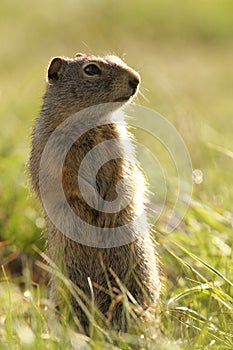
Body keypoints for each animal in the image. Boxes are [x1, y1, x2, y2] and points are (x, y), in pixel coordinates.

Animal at [29, 52, 160, 334]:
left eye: (116, 57)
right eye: (91, 70)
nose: (136, 79)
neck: (90, 122)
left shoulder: (118, 144)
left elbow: (123, 174)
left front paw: (108, 213)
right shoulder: (55, 154)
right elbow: (69, 181)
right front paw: (92, 208)